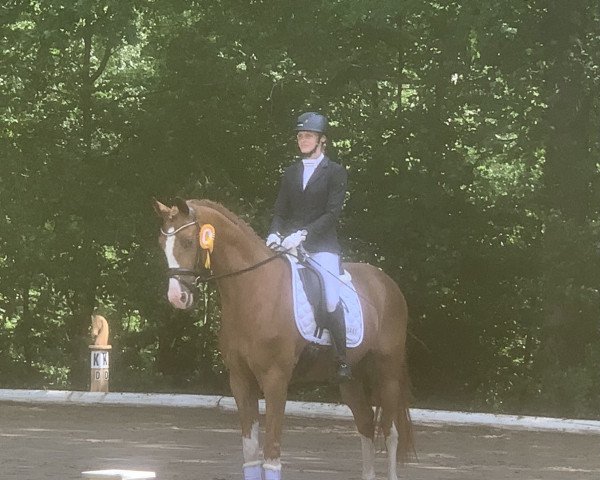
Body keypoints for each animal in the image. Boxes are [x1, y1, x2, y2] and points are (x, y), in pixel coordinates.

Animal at [154, 197, 412, 478]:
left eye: (188, 241)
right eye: (161, 244)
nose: (177, 297)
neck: (253, 289)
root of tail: (386, 282)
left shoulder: (275, 379)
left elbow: (271, 453)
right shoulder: (240, 380)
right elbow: (250, 453)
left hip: (387, 373)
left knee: (389, 431)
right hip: (350, 379)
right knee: (365, 423)